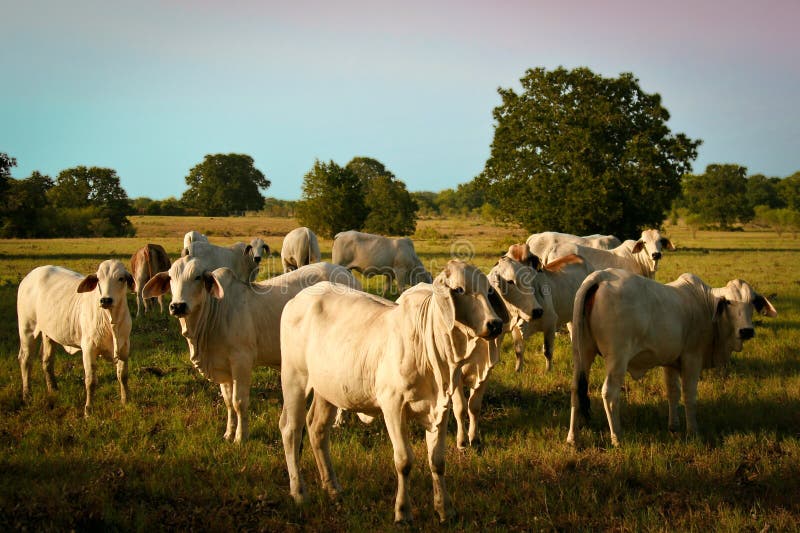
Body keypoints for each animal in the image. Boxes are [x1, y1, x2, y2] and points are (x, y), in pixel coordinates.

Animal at [17, 260, 135, 417]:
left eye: (121, 278)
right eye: (98, 279)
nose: (105, 300)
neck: (111, 320)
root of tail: (30, 276)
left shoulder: (124, 347)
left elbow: (123, 376)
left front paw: (125, 401)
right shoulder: (89, 349)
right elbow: (91, 381)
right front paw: (88, 410)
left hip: (48, 333)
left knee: (47, 360)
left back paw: (53, 389)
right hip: (27, 329)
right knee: (25, 360)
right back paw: (26, 395)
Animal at [142, 258, 361, 443]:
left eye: (197, 277)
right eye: (171, 278)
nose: (177, 306)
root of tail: (348, 275)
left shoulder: (242, 361)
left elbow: (239, 401)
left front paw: (240, 437)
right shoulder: (224, 369)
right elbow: (228, 402)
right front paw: (228, 433)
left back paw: (340, 421)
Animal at [278, 260, 505, 523]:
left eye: (488, 291)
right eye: (459, 289)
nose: (495, 324)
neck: (428, 346)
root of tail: (297, 299)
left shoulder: (441, 408)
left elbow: (437, 461)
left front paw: (445, 509)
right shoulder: (393, 406)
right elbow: (404, 461)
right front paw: (403, 512)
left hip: (327, 389)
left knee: (317, 429)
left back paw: (333, 488)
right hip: (294, 378)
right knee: (291, 429)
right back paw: (299, 492)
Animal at [504, 243, 594, 372]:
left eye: (528, 260)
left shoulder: (550, 324)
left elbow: (547, 350)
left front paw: (548, 370)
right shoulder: (515, 328)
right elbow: (519, 351)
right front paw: (518, 370)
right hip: (571, 315)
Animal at [567, 268, 777, 446]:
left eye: (753, 302)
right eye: (728, 302)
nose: (746, 331)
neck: (705, 304)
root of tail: (601, 276)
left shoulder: (670, 362)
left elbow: (673, 392)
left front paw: (673, 426)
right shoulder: (692, 358)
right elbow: (689, 395)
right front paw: (693, 431)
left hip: (581, 353)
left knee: (576, 389)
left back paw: (573, 438)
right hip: (617, 357)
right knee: (609, 393)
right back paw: (617, 438)